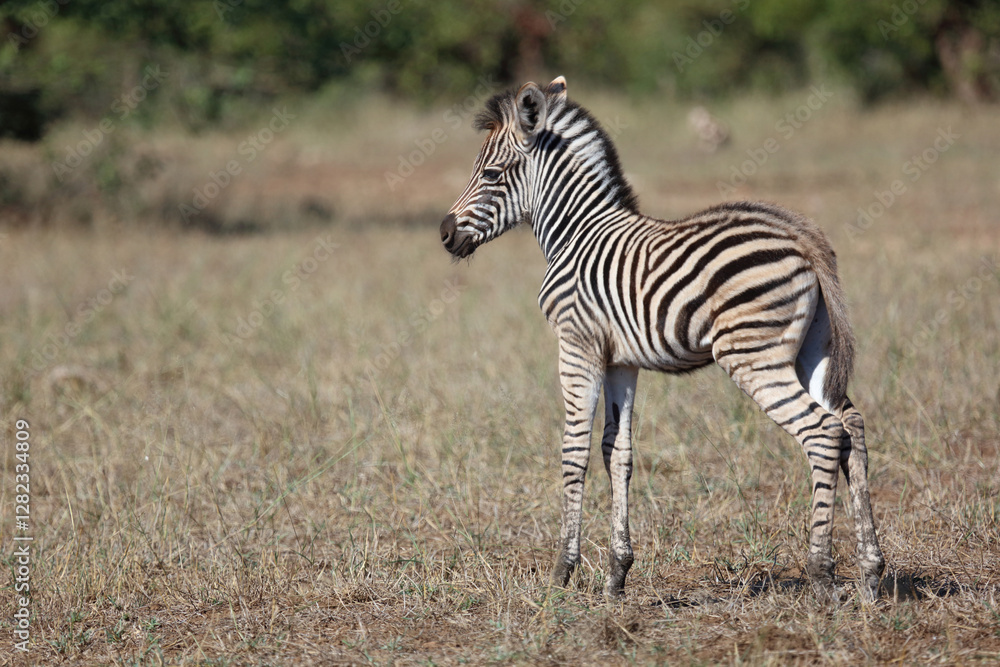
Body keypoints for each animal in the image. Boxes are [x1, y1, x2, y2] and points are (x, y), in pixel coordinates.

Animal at [439, 76, 884, 601]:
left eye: (491, 174)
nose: (444, 233)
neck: (576, 234)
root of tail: (802, 237)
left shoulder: (576, 345)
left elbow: (573, 451)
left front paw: (562, 572)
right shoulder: (620, 360)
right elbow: (617, 452)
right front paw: (617, 574)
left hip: (752, 355)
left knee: (821, 433)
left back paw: (822, 573)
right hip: (812, 353)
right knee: (851, 426)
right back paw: (871, 573)